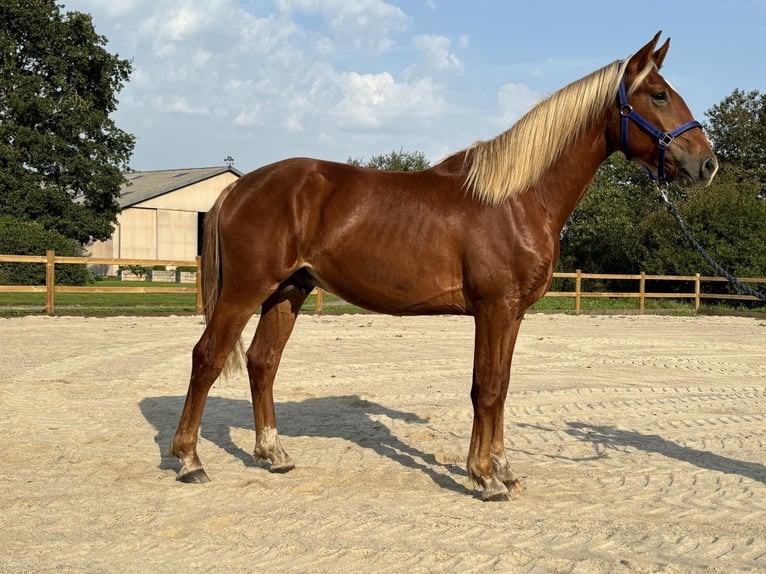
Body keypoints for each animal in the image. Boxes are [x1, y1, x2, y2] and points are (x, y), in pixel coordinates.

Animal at [171, 32, 716, 500]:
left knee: (263, 362)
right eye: (659, 95)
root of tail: (240, 186)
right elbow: (486, 388)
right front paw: (485, 478)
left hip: (289, 290)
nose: (707, 164)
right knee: (207, 358)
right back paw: (190, 461)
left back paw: (273, 453)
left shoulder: (513, 313)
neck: (516, 199)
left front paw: (503, 470)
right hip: (245, 290)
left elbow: (501, 386)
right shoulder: (494, 309)